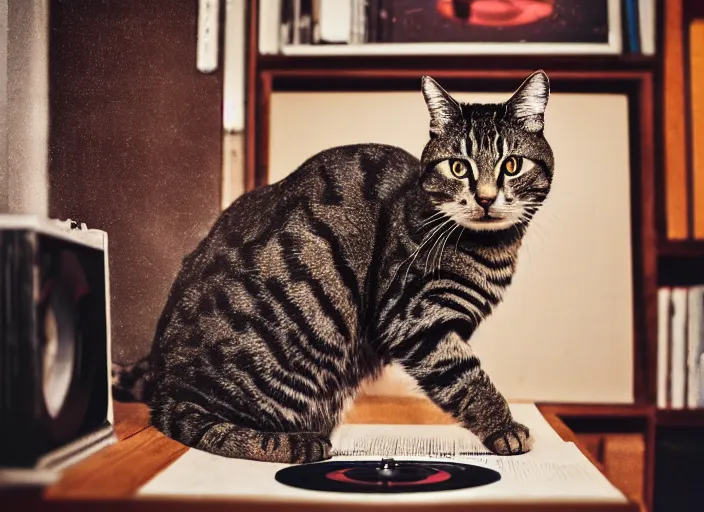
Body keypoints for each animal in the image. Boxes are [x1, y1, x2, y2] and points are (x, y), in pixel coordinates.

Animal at [114, 71, 556, 464]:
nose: (485, 198)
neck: (490, 249)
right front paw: (505, 428)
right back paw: (296, 443)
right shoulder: (414, 320)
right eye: (459, 167)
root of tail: (162, 383)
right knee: (196, 423)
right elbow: (468, 380)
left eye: (512, 165)